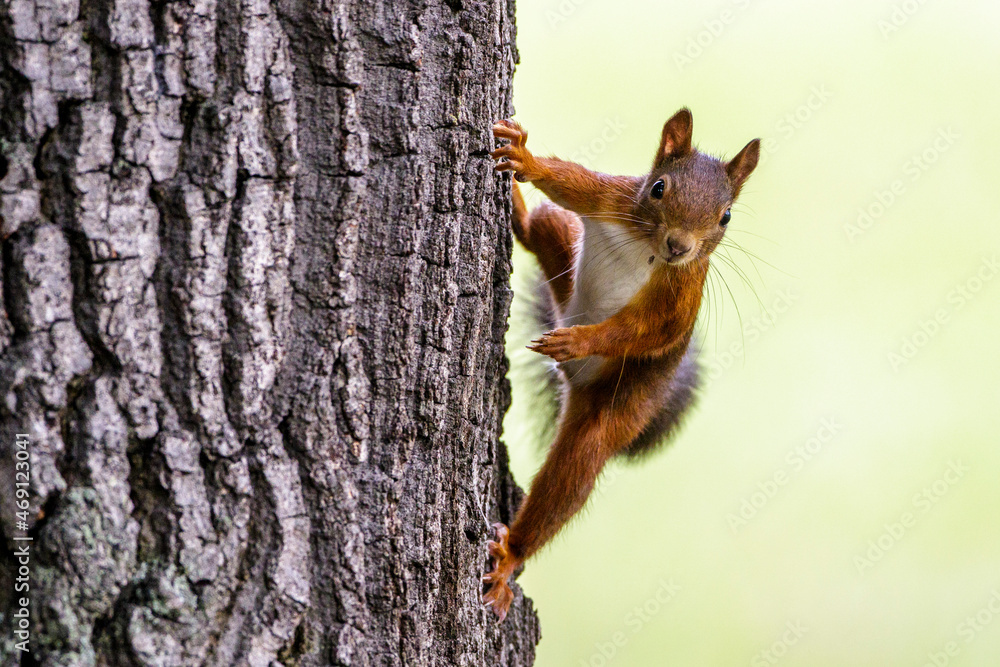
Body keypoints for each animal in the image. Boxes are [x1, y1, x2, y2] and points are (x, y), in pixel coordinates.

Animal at [482, 108, 760, 621]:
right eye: (658, 188)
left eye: (726, 216)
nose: (679, 246)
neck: (647, 244)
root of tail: (572, 382)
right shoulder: (608, 196)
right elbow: (567, 181)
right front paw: (526, 161)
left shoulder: (680, 296)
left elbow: (645, 333)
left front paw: (581, 341)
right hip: (560, 252)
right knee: (540, 224)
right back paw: (518, 208)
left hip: (618, 409)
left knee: (571, 477)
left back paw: (512, 553)